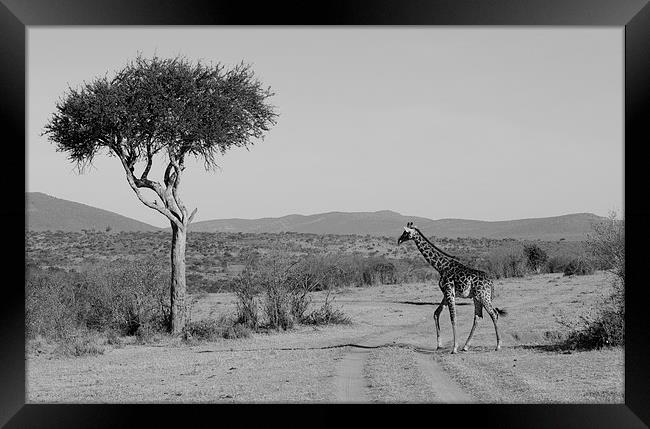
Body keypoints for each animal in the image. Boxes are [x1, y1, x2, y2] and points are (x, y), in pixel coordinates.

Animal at [394, 221, 506, 352]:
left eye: (405, 232)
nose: (399, 240)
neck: (441, 267)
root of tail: (491, 282)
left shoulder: (449, 291)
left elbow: (453, 317)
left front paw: (454, 348)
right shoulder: (446, 293)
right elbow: (436, 313)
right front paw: (439, 345)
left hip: (483, 296)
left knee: (494, 314)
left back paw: (498, 345)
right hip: (477, 297)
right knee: (478, 317)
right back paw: (466, 346)